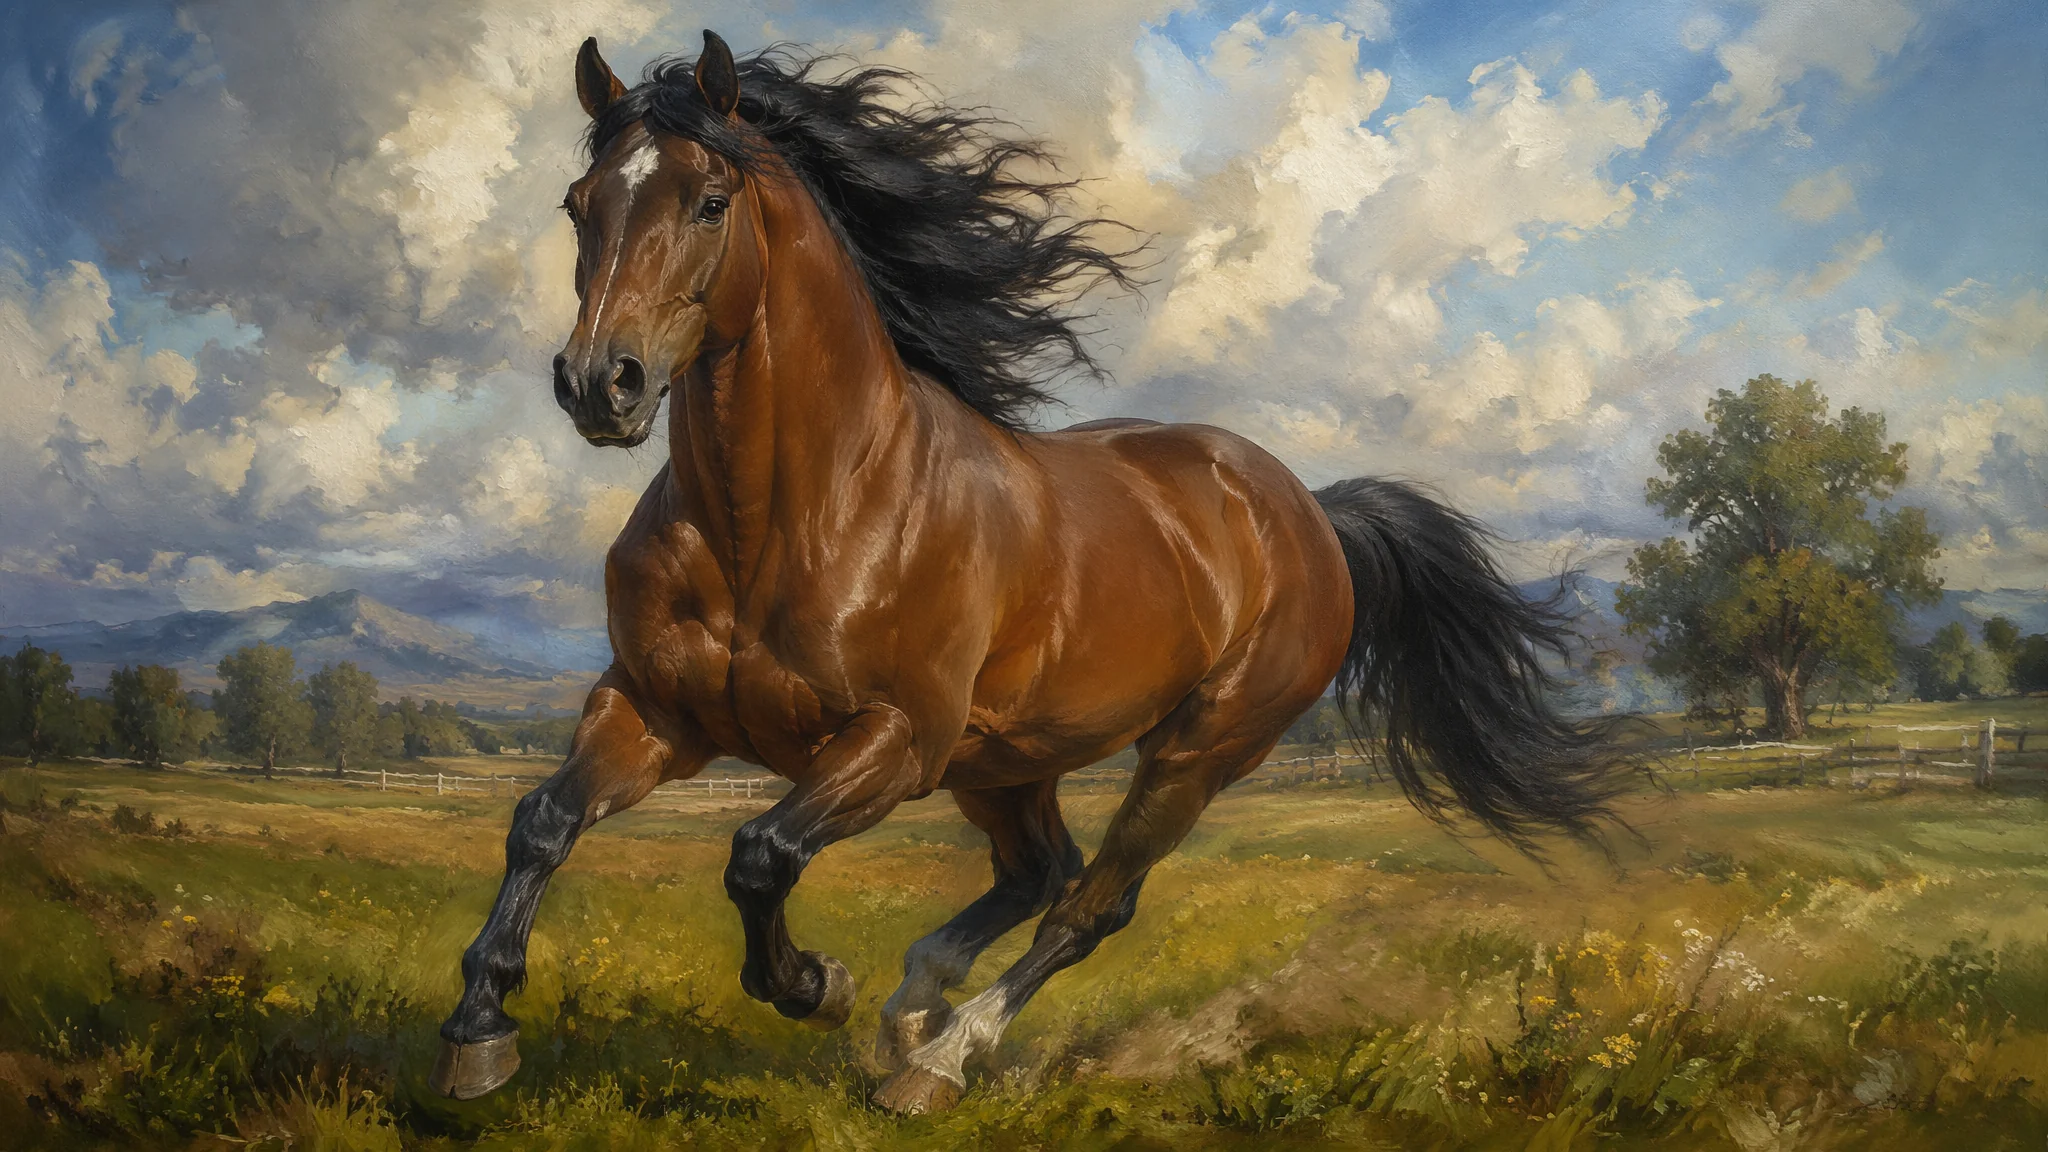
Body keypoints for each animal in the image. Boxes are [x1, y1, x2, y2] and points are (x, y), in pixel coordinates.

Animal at [430, 31, 1627, 1114]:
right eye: (578, 204)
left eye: (710, 202)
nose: (601, 383)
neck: (788, 516)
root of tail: (1309, 515)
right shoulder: (654, 711)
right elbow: (541, 821)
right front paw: (478, 1032)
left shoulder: (894, 740)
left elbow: (759, 852)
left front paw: (815, 984)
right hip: (1006, 759)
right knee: (1037, 871)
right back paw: (913, 1012)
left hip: (1193, 752)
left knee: (1088, 905)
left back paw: (936, 1061)